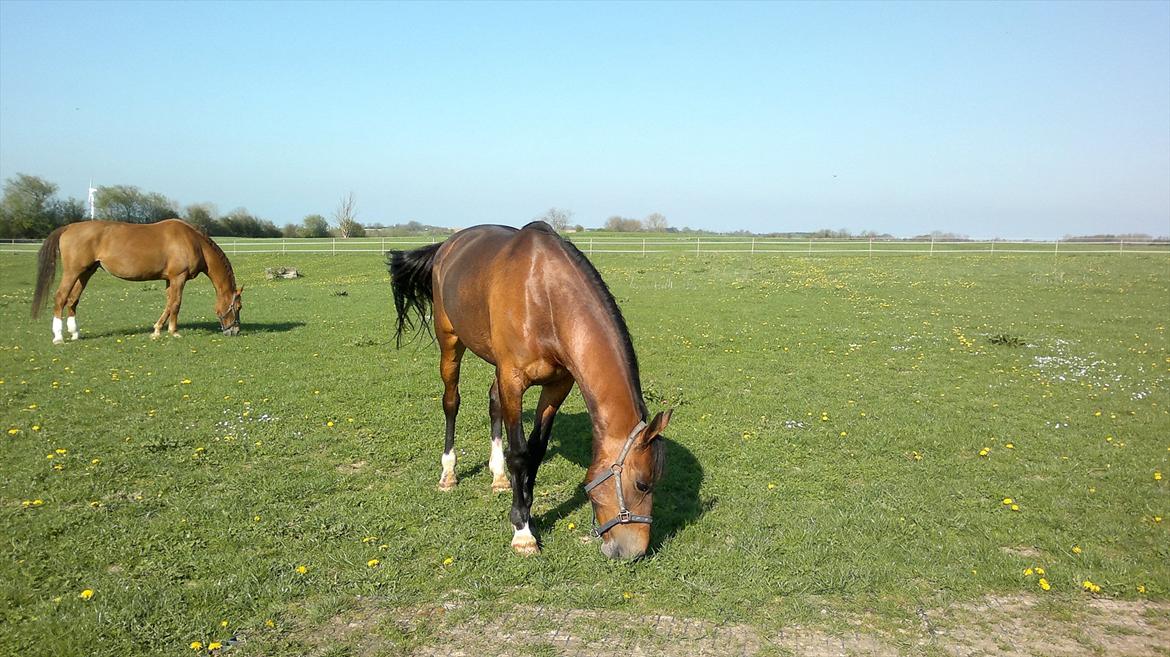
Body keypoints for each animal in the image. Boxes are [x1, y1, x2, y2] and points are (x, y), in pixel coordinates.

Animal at [33, 218, 242, 343]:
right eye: (238, 307)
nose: (235, 331)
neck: (194, 242)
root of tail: (69, 227)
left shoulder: (169, 279)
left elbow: (168, 303)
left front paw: (157, 330)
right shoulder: (178, 277)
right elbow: (176, 304)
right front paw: (173, 331)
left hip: (86, 273)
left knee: (72, 300)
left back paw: (75, 333)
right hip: (72, 272)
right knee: (60, 298)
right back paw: (58, 337)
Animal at [390, 220, 673, 556]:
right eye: (642, 484)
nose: (635, 551)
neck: (544, 297)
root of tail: (447, 245)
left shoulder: (556, 386)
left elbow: (535, 451)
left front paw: (527, 509)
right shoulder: (513, 380)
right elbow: (520, 453)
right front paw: (522, 530)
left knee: (493, 403)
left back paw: (499, 476)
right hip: (450, 342)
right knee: (451, 402)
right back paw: (449, 473)